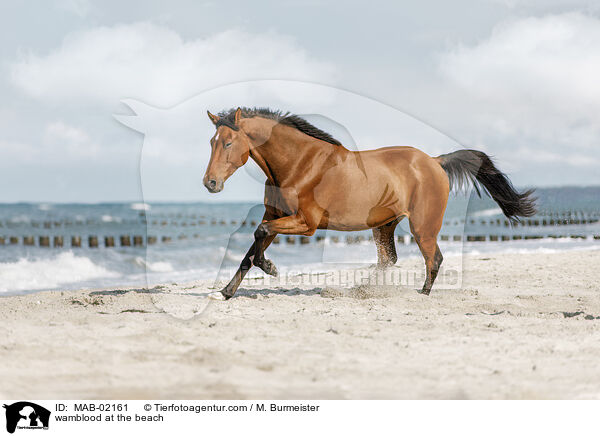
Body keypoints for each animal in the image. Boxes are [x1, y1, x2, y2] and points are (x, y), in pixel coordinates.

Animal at [202, 108, 536, 300]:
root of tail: (435, 161)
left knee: (434, 259)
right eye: (211, 142)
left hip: (422, 226)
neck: (300, 163)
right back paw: (363, 289)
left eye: (228, 143)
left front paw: (269, 267)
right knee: (389, 259)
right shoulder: (278, 215)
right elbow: (253, 245)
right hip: (384, 225)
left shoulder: (305, 223)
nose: (210, 183)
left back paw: (422, 295)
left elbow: (259, 234)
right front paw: (227, 291)